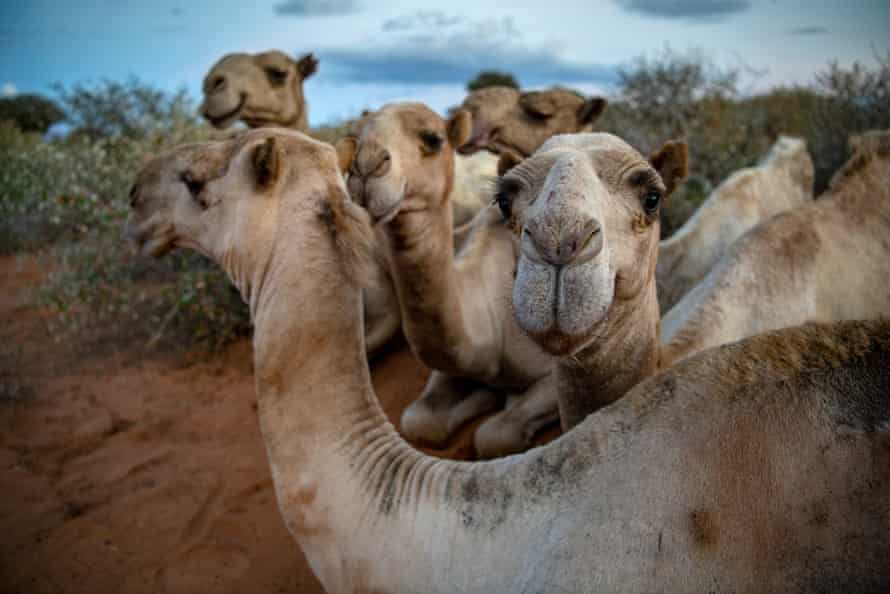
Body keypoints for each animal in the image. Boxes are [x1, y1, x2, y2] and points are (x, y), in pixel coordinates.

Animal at [336, 103, 556, 457]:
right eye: (354, 137)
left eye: (433, 139)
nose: (365, 168)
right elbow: (419, 421)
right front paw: (484, 395)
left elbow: (494, 436)